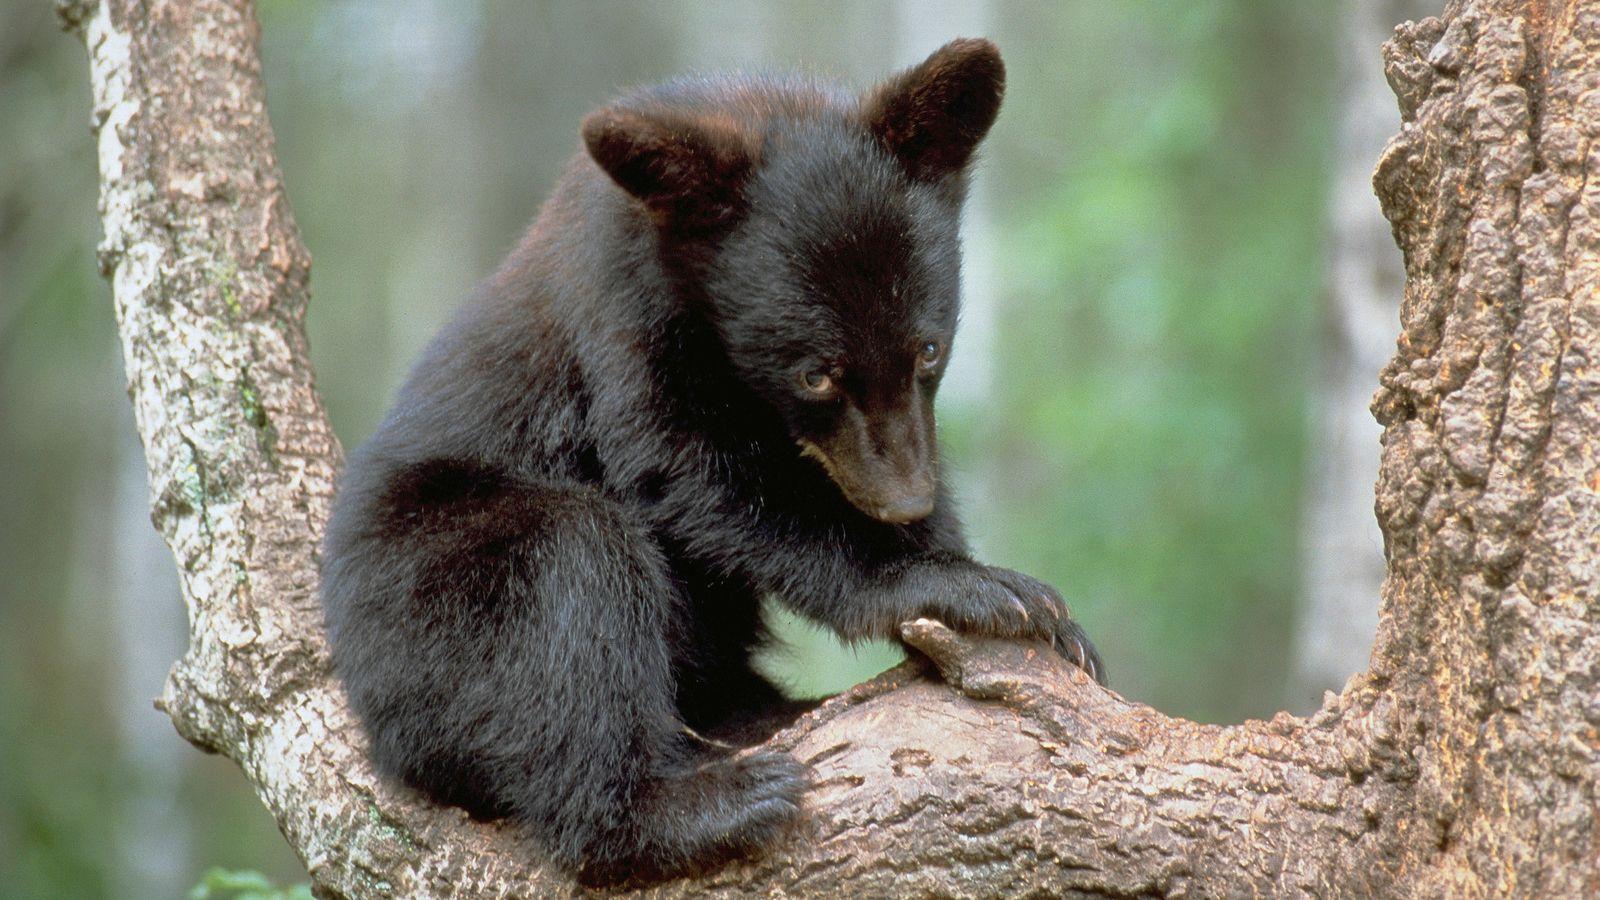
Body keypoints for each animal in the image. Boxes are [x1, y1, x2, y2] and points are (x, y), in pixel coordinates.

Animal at [319, 37, 1104, 885]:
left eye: (928, 348)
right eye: (816, 373)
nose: (904, 499)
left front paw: (1040, 616)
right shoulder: (622, 321)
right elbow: (696, 476)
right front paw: (963, 586)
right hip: (419, 599)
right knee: (571, 560)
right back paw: (695, 808)